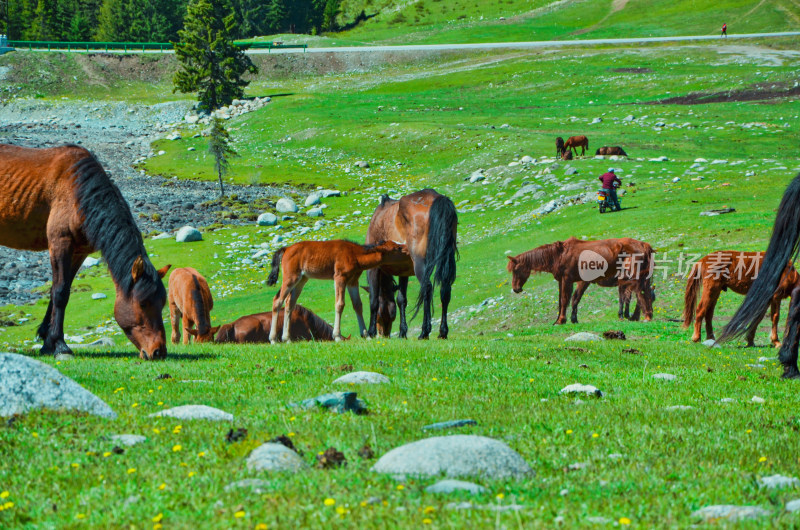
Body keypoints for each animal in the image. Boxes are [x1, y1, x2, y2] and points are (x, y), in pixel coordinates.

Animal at [0, 143, 170, 358]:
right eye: (143, 303)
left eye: (162, 303)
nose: (158, 351)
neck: (79, 193)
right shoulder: (60, 243)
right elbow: (60, 293)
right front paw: (60, 345)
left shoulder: (79, 252)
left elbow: (58, 292)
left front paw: (47, 343)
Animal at [268, 239, 410, 342]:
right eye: (397, 248)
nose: (407, 249)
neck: (354, 254)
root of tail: (286, 249)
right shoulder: (340, 277)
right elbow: (340, 304)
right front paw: (336, 336)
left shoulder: (353, 281)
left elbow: (358, 305)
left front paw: (366, 335)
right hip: (290, 277)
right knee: (277, 300)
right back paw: (273, 339)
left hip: (302, 279)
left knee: (289, 303)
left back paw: (287, 338)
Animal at [510, 236, 652, 326]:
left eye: (515, 270)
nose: (516, 289)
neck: (560, 255)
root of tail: (643, 244)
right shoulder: (570, 281)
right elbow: (569, 300)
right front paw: (569, 319)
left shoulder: (568, 280)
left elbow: (565, 300)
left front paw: (561, 320)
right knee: (645, 293)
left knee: (640, 294)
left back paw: (644, 317)